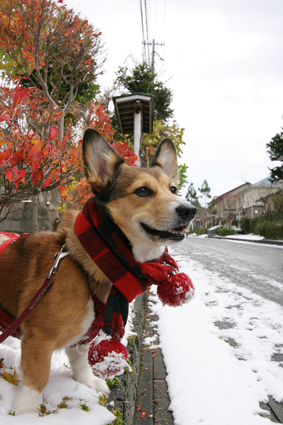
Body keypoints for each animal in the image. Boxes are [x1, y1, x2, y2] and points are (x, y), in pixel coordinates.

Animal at [0, 127, 196, 412]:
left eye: (173, 189)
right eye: (143, 191)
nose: (190, 211)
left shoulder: (85, 335)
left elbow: (80, 359)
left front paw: (87, 383)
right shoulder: (39, 338)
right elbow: (37, 377)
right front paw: (26, 410)